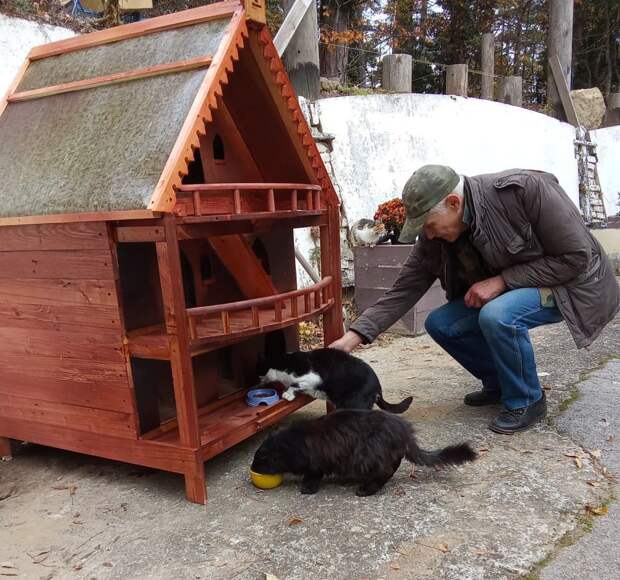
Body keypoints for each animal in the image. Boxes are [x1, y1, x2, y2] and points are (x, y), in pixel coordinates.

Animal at [249, 410, 478, 496]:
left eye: (259, 460)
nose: (252, 467)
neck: (296, 442)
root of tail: (403, 430)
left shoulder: (316, 462)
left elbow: (313, 475)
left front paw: (307, 488)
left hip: (367, 454)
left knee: (385, 472)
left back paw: (366, 489)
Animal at [256, 346, 412, 414]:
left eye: (258, 370)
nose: (257, 379)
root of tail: (378, 387)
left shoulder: (313, 377)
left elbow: (295, 384)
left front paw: (288, 393)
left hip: (352, 402)